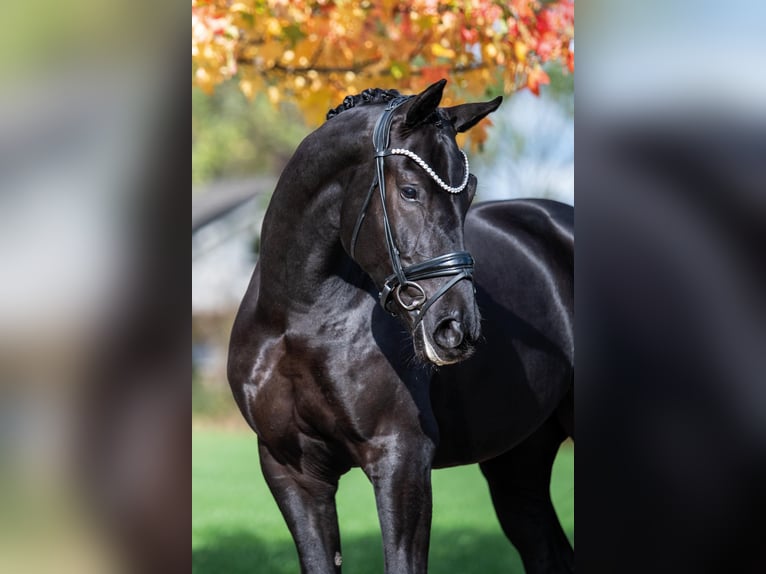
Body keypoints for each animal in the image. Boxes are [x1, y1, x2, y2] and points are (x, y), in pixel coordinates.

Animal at [228, 79, 574, 574]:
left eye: (469, 195)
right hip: (518, 462)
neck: (298, 317)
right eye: (410, 191)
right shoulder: (293, 471)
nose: (456, 329)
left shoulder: (402, 460)